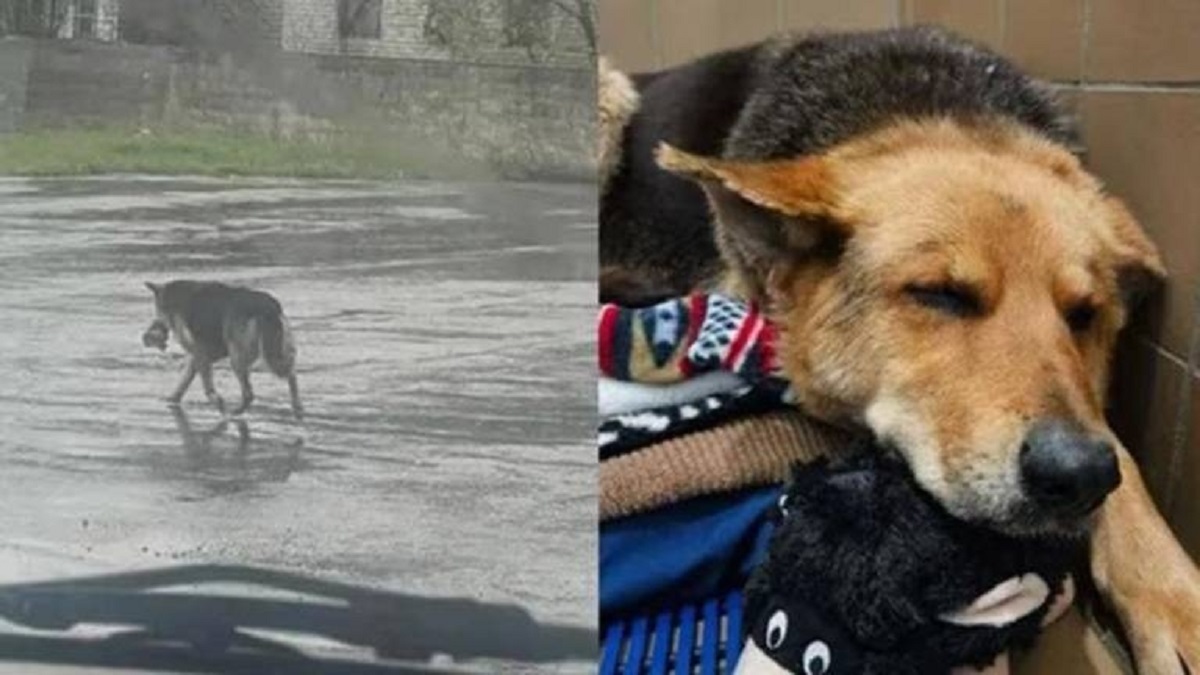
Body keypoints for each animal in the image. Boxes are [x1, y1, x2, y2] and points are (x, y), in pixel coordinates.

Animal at [141, 277, 302, 415]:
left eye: (157, 311)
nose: (148, 334)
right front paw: (172, 399)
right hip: (276, 353)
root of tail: (268, 308)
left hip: (238, 358)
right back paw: (297, 407)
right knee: (291, 374)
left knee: (249, 393)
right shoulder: (205, 353)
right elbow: (185, 379)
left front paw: (215, 400)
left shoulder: (200, 351)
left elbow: (205, 383)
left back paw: (234, 412)